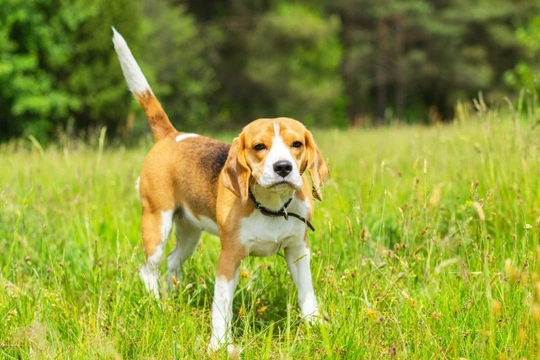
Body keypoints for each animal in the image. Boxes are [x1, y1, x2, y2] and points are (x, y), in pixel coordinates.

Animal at [112, 28, 326, 352]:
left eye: (297, 144)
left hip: (190, 230)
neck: (271, 207)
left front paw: (315, 327)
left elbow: (307, 294)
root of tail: (171, 135)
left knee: (173, 261)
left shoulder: (298, 250)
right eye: (259, 147)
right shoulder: (229, 258)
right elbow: (221, 307)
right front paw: (219, 345)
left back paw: (173, 300)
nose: (283, 168)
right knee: (148, 270)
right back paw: (158, 306)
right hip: (156, 222)